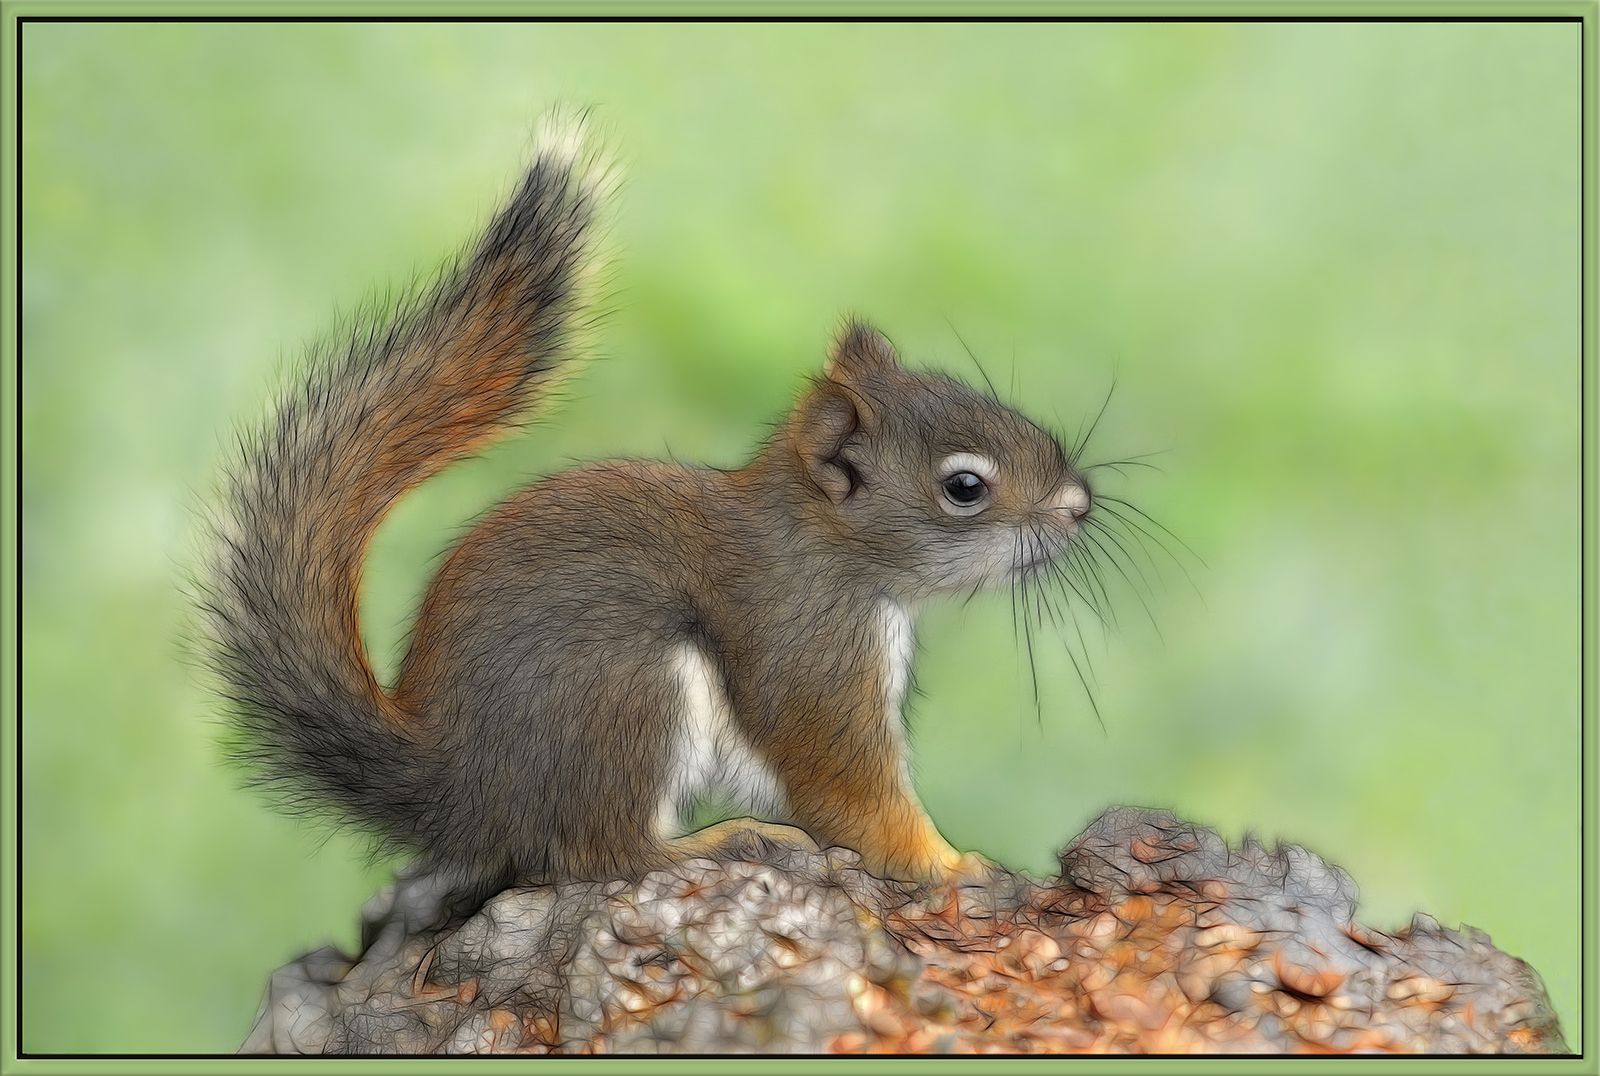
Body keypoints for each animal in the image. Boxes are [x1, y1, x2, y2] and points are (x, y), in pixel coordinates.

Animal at [205, 124, 1094, 919]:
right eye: (965, 487)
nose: (1080, 505)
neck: (828, 548)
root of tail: (462, 791)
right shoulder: (813, 650)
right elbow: (850, 784)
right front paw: (949, 864)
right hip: (623, 690)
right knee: (601, 854)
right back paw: (719, 841)